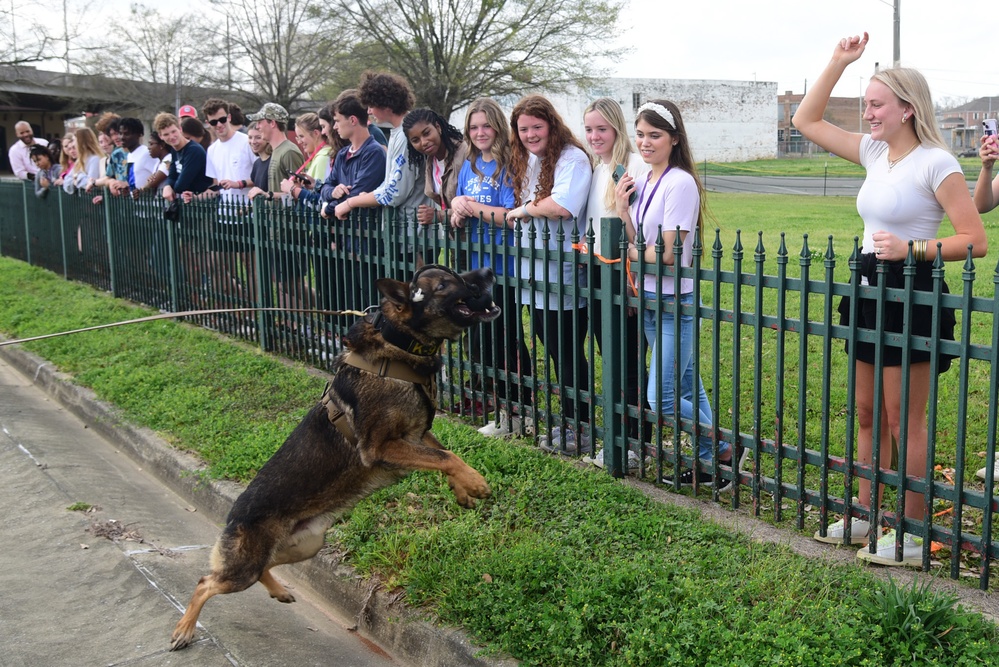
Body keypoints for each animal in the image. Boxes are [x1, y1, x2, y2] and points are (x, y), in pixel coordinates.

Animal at [172, 264, 504, 648]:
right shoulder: (381, 446)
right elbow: (446, 456)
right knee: (206, 582)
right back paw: (184, 629)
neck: (399, 342)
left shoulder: (417, 436)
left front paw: (463, 489)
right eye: (448, 283)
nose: (489, 270)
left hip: (305, 545)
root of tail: (232, 515)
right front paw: (475, 483)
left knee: (263, 568)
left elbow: (444, 455)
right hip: (244, 567)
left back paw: (279, 591)